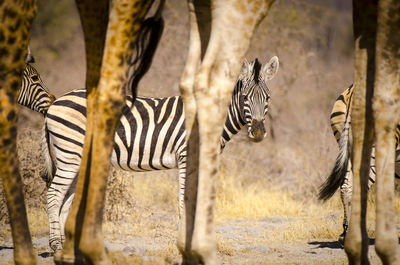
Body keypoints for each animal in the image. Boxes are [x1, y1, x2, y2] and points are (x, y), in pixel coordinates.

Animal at [39, 55, 278, 250]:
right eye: (245, 97)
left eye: (267, 98)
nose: (258, 132)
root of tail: (55, 103)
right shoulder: (186, 155)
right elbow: (184, 200)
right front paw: (184, 243)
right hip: (70, 153)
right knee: (54, 194)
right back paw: (56, 245)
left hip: (77, 157)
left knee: (64, 199)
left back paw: (66, 247)